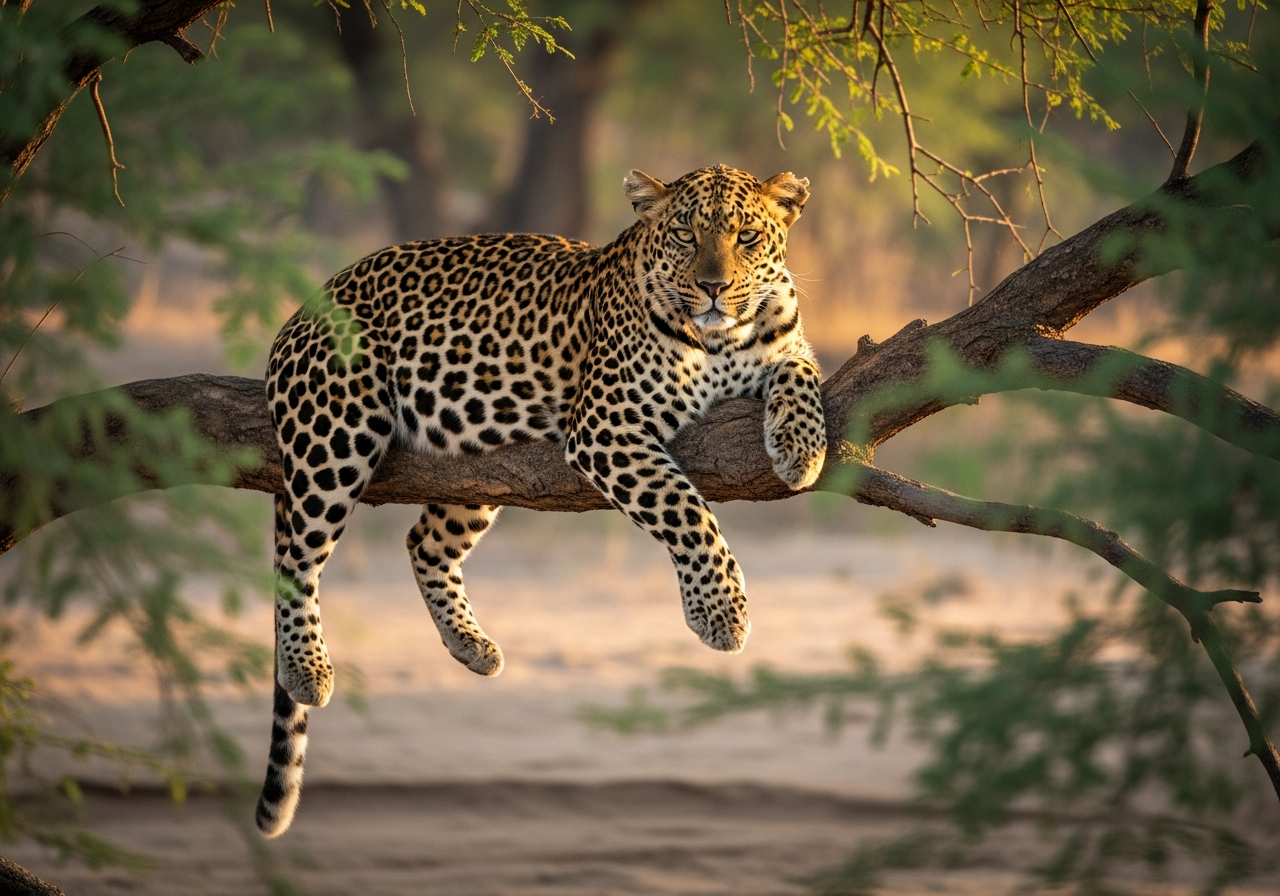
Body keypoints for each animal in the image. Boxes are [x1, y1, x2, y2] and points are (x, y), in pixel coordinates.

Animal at [254, 164, 827, 837]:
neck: (723, 341)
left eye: (747, 237)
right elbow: (688, 512)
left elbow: (802, 376)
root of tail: (303, 309)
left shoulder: (786, 351)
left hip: (478, 473)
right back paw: (306, 667)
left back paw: (470, 645)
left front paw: (800, 448)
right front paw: (722, 613)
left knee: (422, 543)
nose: (713, 287)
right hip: (336, 432)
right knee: (296, 559)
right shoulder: (606, 426)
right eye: (686, 235)